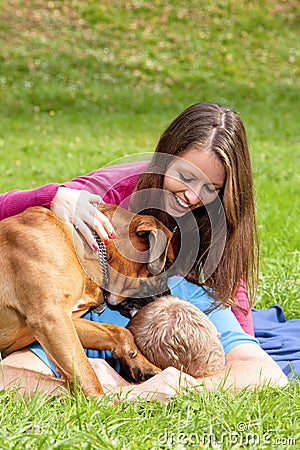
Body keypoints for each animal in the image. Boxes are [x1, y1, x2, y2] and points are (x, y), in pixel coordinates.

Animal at [0, 202, 173, 396]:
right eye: (165, 267)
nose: (168, 294)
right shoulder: (51, 319)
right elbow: (85, 370)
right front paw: (100, 402)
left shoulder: (68, 321)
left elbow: (119, 333)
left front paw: (141, 363)